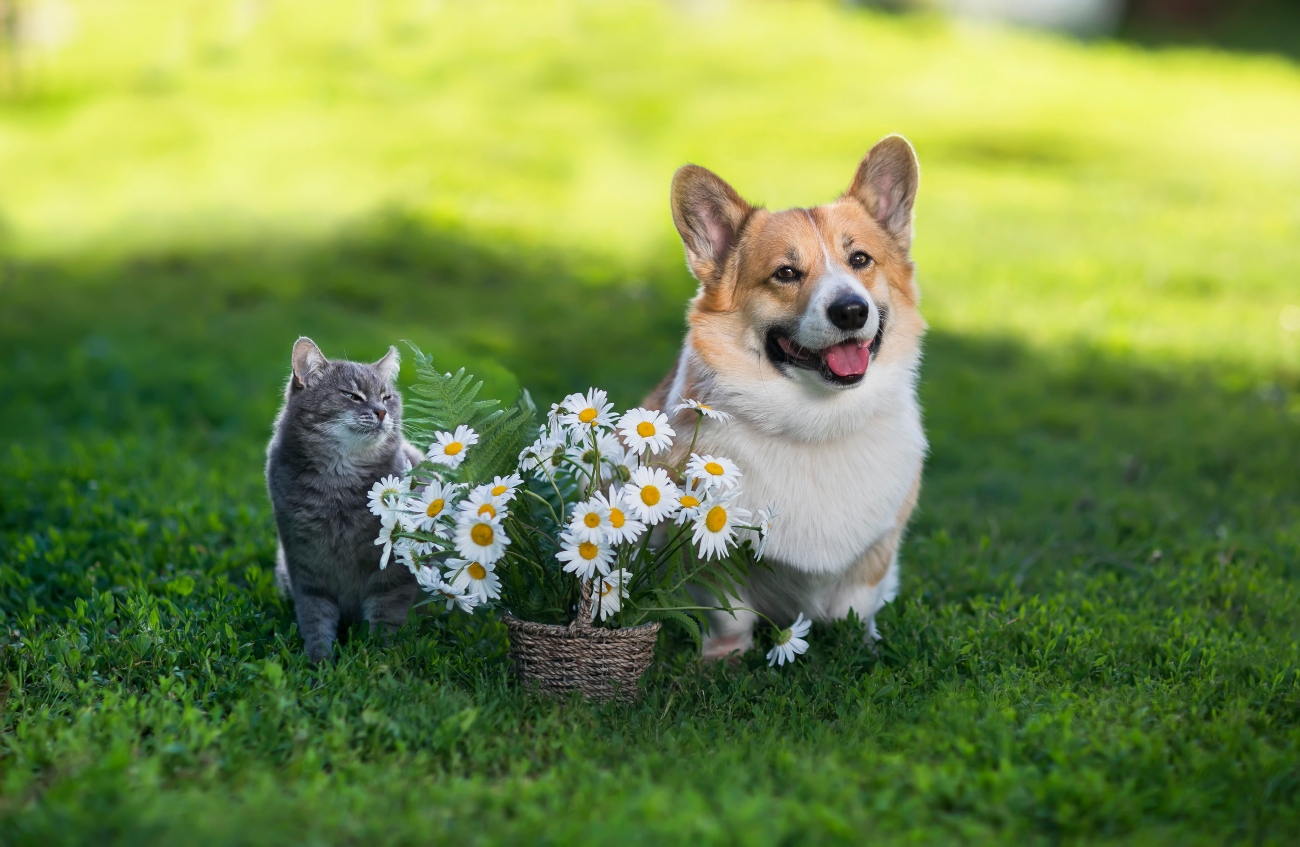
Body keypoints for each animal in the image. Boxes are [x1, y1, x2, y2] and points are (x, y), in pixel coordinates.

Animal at [266, 335, 423, 662]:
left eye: (386, 397)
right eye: (352, 396)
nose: (381, 412)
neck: (338, 486)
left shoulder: (394, 567)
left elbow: (387, 617)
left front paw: (379, 659)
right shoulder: (304, 564)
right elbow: (314, 615)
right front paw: (319, 660)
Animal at [647, 135, 930, 657]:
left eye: (860, 260)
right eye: (785, 273)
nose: (851, 311)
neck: (818, 423)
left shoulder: (877, 553)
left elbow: (854, 605)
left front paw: (861, 644)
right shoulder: (709, 556)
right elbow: (730, 613)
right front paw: (723, 658)